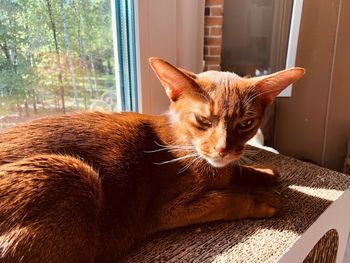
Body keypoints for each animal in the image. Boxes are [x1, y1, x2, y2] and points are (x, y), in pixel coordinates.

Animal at [0, 58, 304, 263]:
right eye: (203, 120)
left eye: (246, 124)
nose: (222, 150)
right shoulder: (167, 210)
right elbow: (223, 198)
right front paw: (262, 199)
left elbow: (235, 172)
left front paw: (265, 172)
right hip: (67, 172)